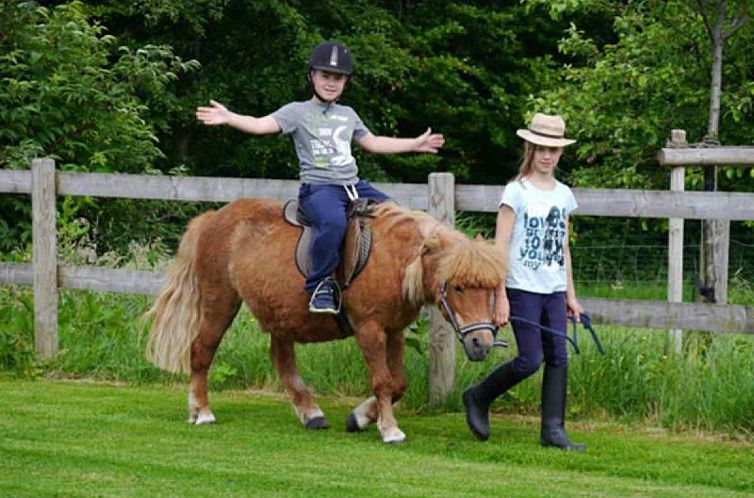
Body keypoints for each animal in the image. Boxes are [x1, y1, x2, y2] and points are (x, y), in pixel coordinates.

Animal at [144, 198, 502, 444]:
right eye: (457, 286)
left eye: (490, 288)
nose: (481, 343)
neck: (394, 259)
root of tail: (212, 218)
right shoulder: (369, 328)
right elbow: (382, 381)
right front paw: (389, 429)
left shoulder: (394, 330)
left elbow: (398, 382)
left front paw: (359, 418)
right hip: (220, 302)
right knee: (201, 351)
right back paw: (201, 411)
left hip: (279, 313)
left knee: (282, 359)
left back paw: (310, 413)